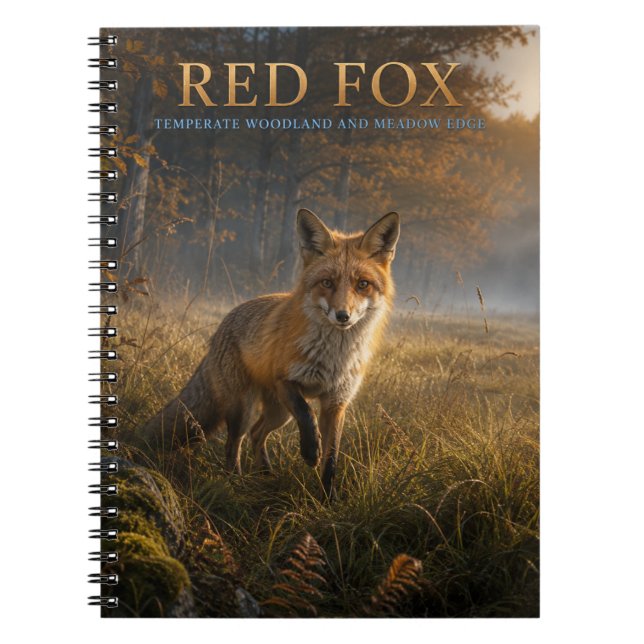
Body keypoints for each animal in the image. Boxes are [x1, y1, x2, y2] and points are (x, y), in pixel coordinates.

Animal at [131, 209, 400, 498]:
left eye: (363, 284)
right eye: (327, 282)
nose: (342, 316)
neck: (333, 358)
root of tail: (223, 323)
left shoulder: (337, 402)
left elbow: (332, 458)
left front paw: (328, 498)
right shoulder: (285, 381)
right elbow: (307, 414)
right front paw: (310, 451)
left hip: (278, 413)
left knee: (257, 433)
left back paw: (266, 474)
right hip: (245, 407)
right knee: (234, 443)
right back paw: (235, 483)